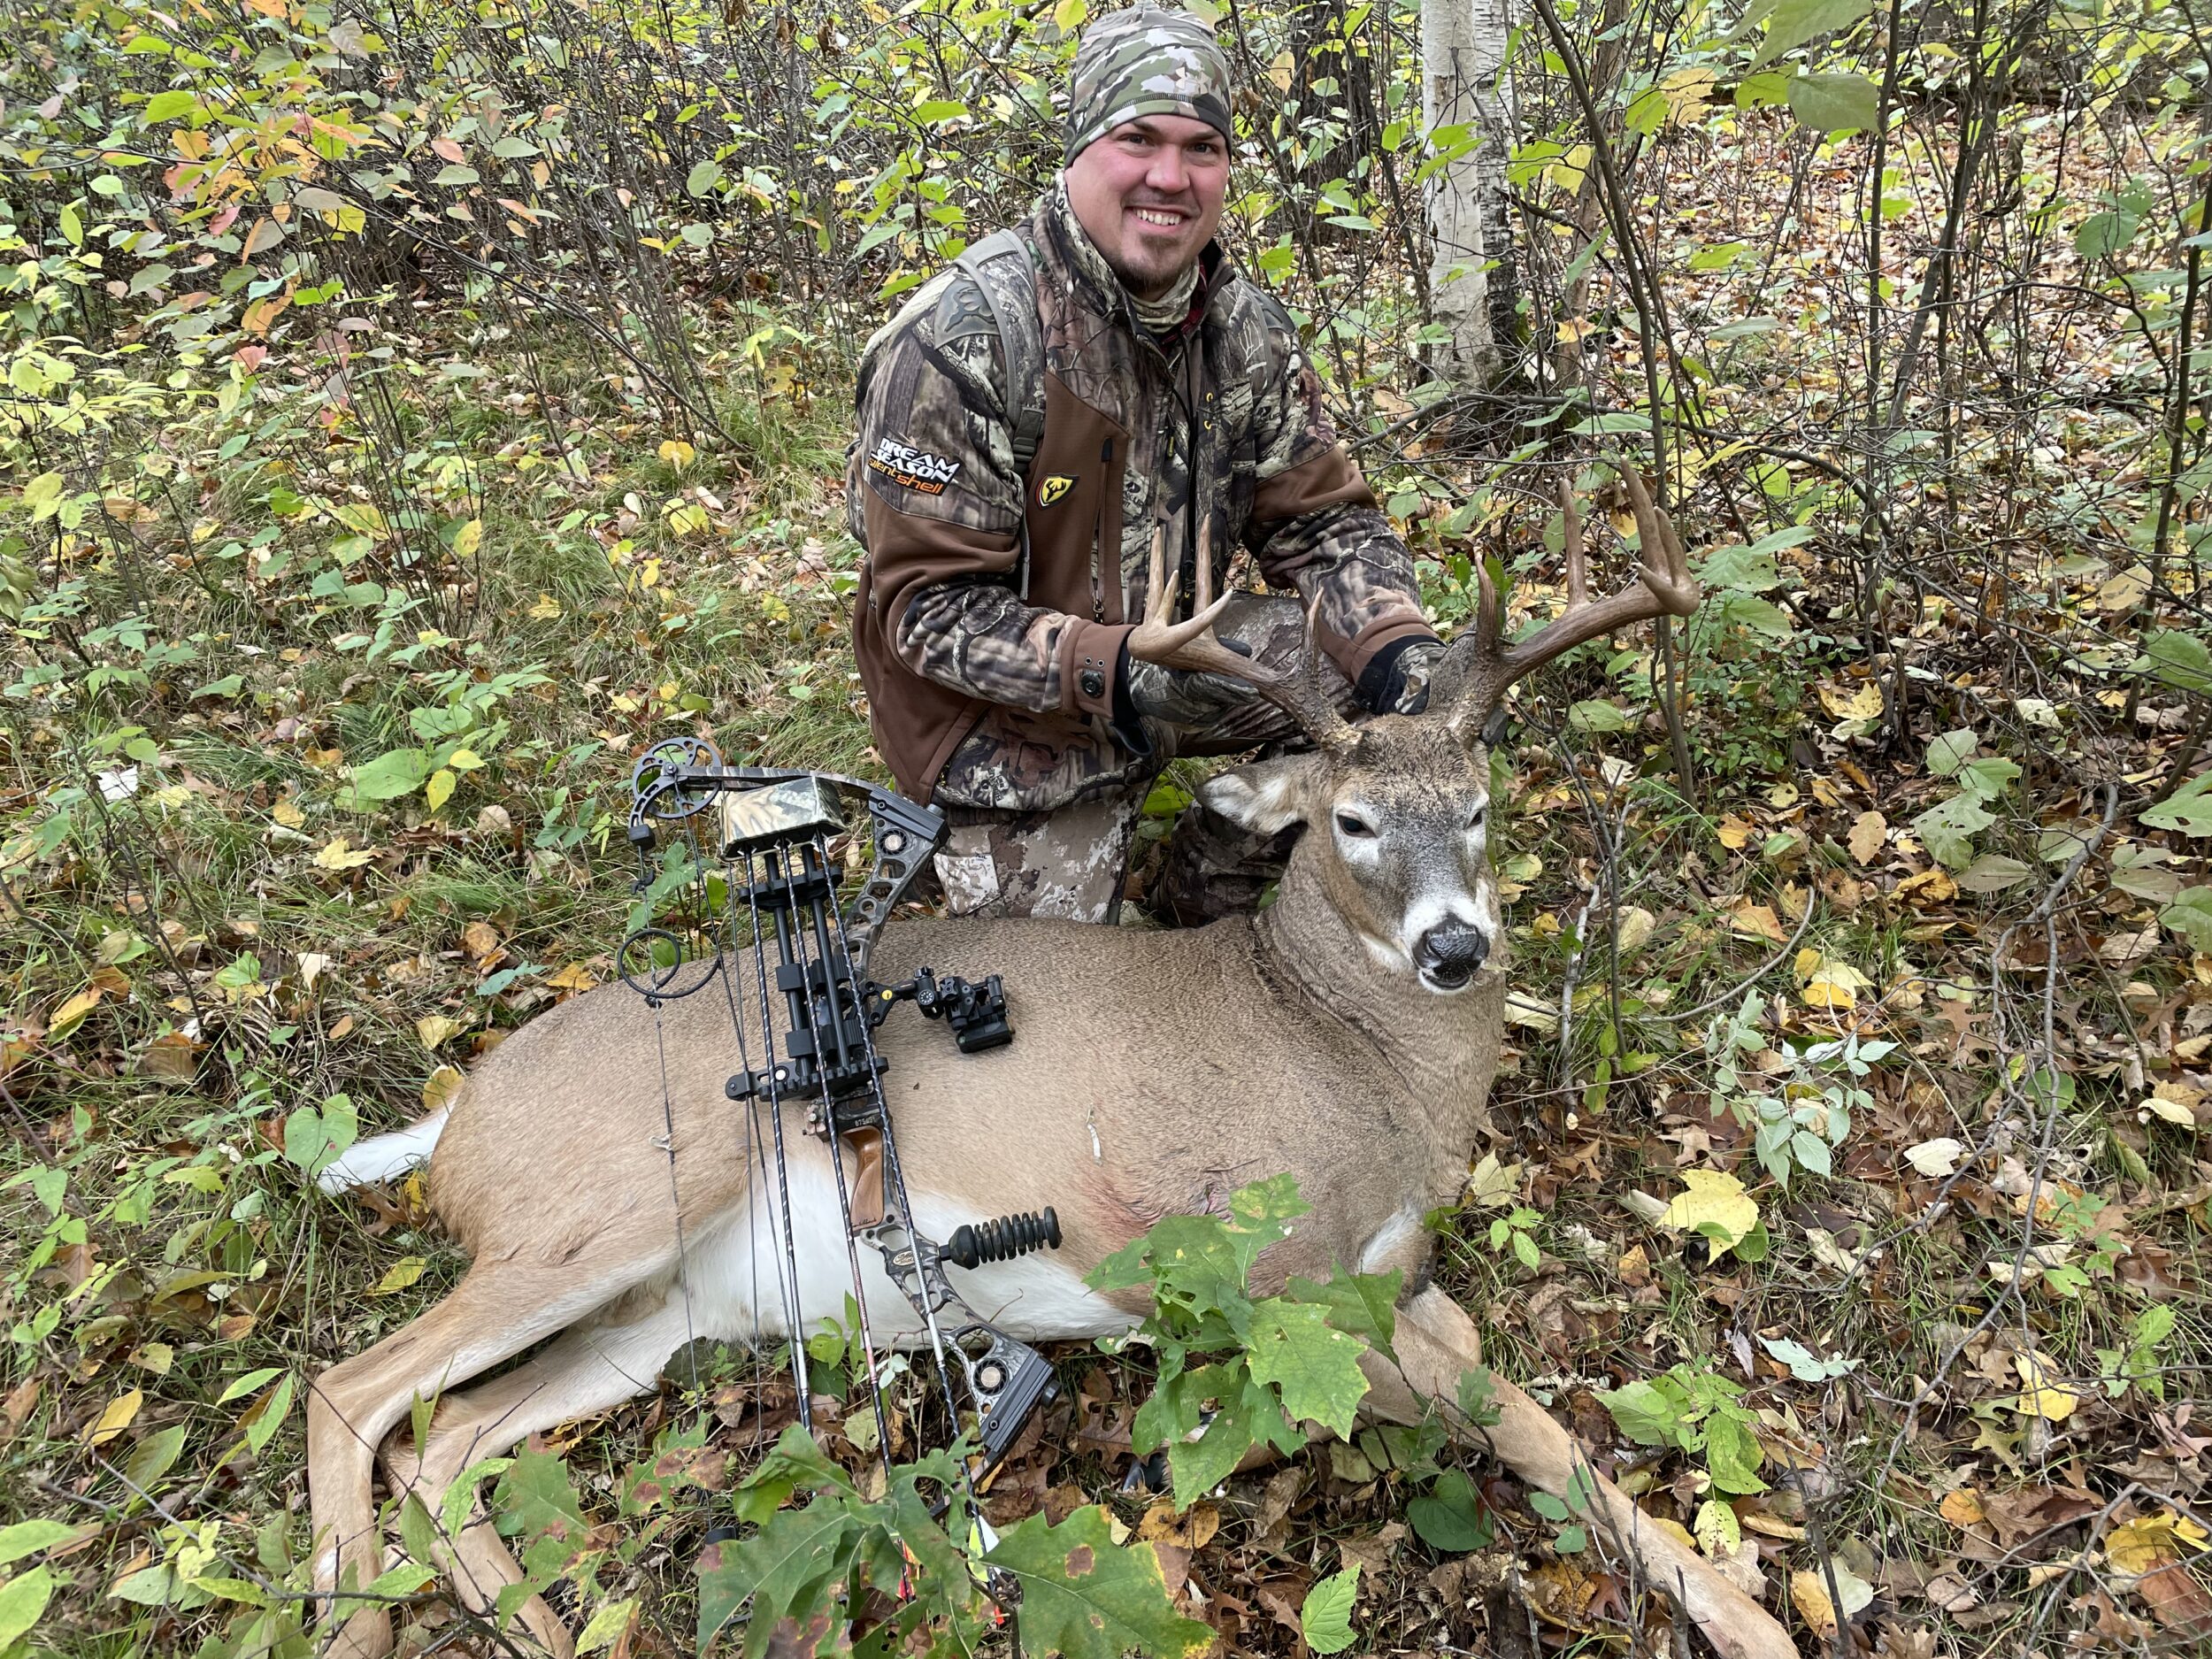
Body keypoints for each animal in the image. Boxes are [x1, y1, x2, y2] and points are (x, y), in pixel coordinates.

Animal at [304, 472, 1796, 1659]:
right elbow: (1487, 1417)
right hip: (608, 1198)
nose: (1453, 946)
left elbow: (1544, 1421)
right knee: (352, 1387)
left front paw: (1741, 1610)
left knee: (446, 1435)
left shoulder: (1398, 1276)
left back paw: (533, 1625)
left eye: (1478, 807)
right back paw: (355, 1617)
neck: (1348, 1054)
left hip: (657, 1310)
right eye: (1354, 818)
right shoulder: (1260, 1278)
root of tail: (454, 1122)